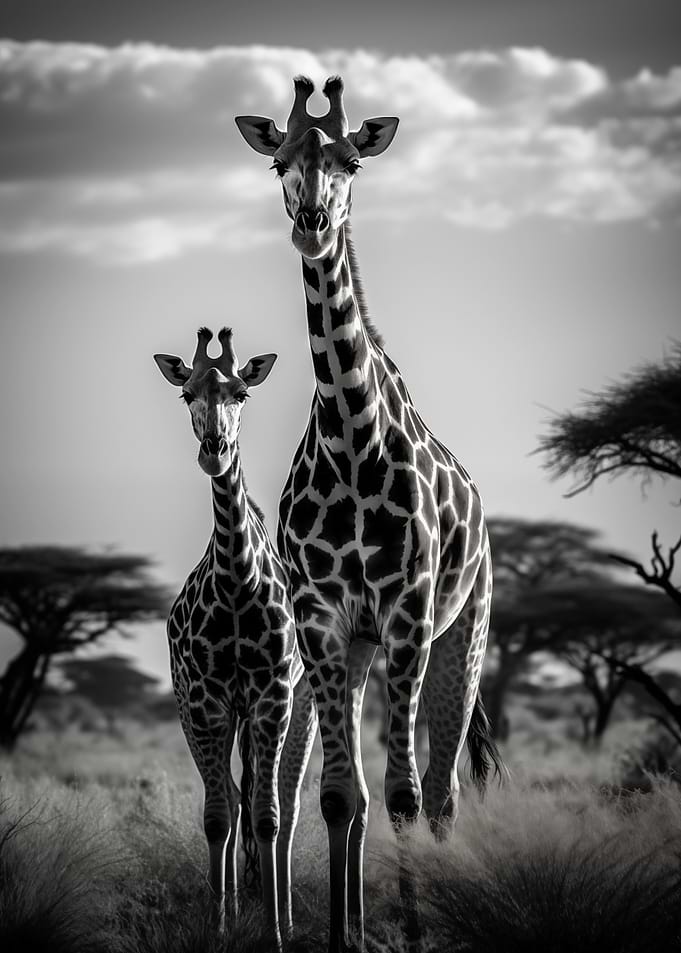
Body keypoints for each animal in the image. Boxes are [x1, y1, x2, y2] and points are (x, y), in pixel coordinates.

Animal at [154, 327, 317, 951]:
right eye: (187, 393)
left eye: (241, 392)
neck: (236, 583)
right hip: (203, 713)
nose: (214, 450)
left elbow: (267, 817)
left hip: (302, 704)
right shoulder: (206, 703)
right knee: (228, 796)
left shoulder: (272, 698)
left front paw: (272, 933)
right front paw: (218, 924)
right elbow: (219, 817)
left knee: (285, 807)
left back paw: (287, 916)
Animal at [236, 77, 503, 953]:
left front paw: (414, 934)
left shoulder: (407, 614)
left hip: (466, 630)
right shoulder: (325, 618)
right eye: (279, 161)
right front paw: (338, 936)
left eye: (351, 161)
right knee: (361, 794)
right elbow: (338, 797)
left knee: (445, 790)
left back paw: (442, 909)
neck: (351, 438)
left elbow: (403, 794)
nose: (311, 222)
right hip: (354, 649)